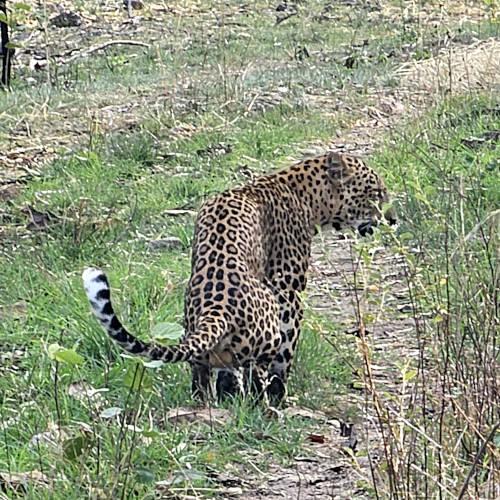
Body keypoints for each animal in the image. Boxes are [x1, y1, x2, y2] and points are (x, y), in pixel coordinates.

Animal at [83, 151, 394, 406]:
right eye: (376, 192)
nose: (391, 218)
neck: (306, 195)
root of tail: (215, 308)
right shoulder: (288, 289)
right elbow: (285, 355)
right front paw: (280, 395)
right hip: (270, 321)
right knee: (259, 372)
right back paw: (267, 403)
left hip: (199, 341)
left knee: (205, 377)